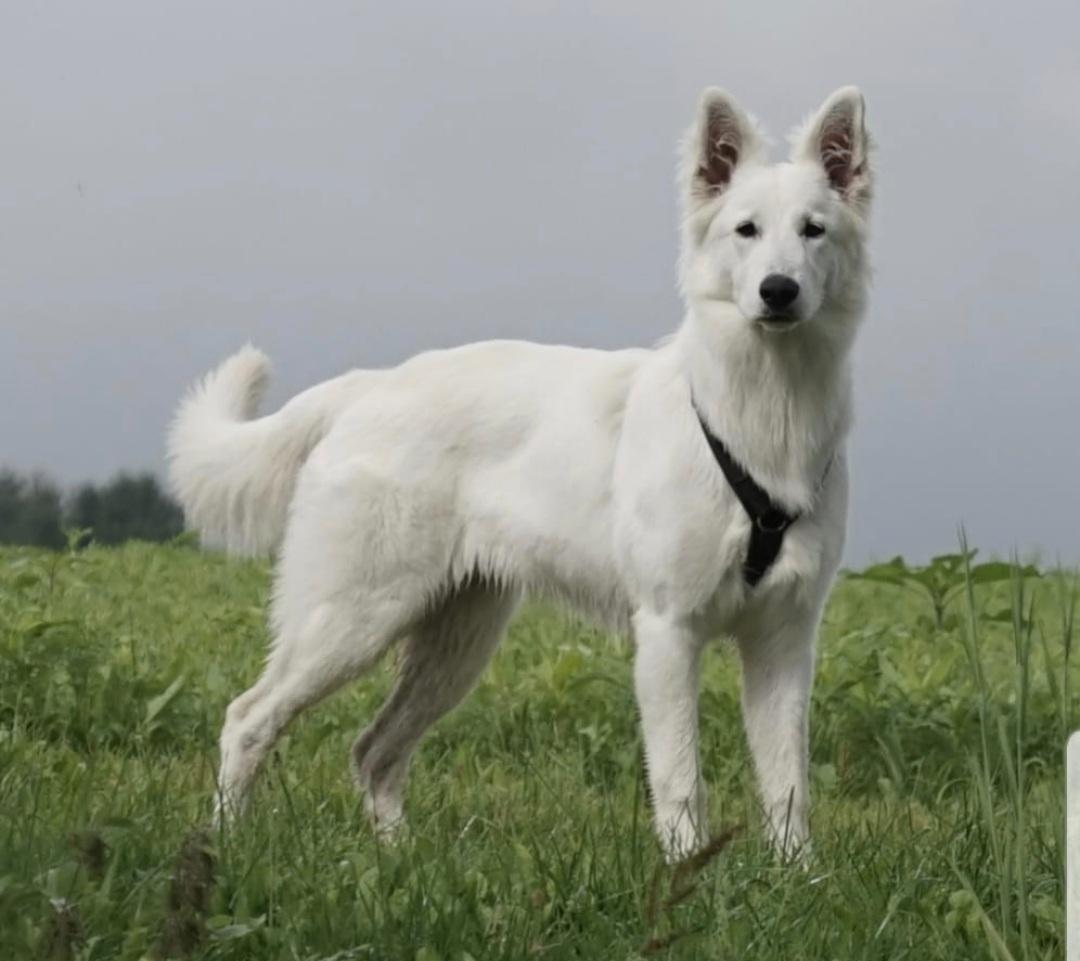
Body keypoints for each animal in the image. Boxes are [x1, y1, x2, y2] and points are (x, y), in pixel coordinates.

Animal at [170, 86, 876, 859]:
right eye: (746, 230)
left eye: (813, 231)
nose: (778, 291)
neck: (760, 418)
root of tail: (370, 385)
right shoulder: (668, 634)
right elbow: (680, 780)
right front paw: (687, 872)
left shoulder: (784, 642)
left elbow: (787, 787)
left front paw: (795, 876)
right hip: (351, 620)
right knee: (249, 718)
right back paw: (224, 846)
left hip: (457, 642)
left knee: (374, 750)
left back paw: (399, 861)